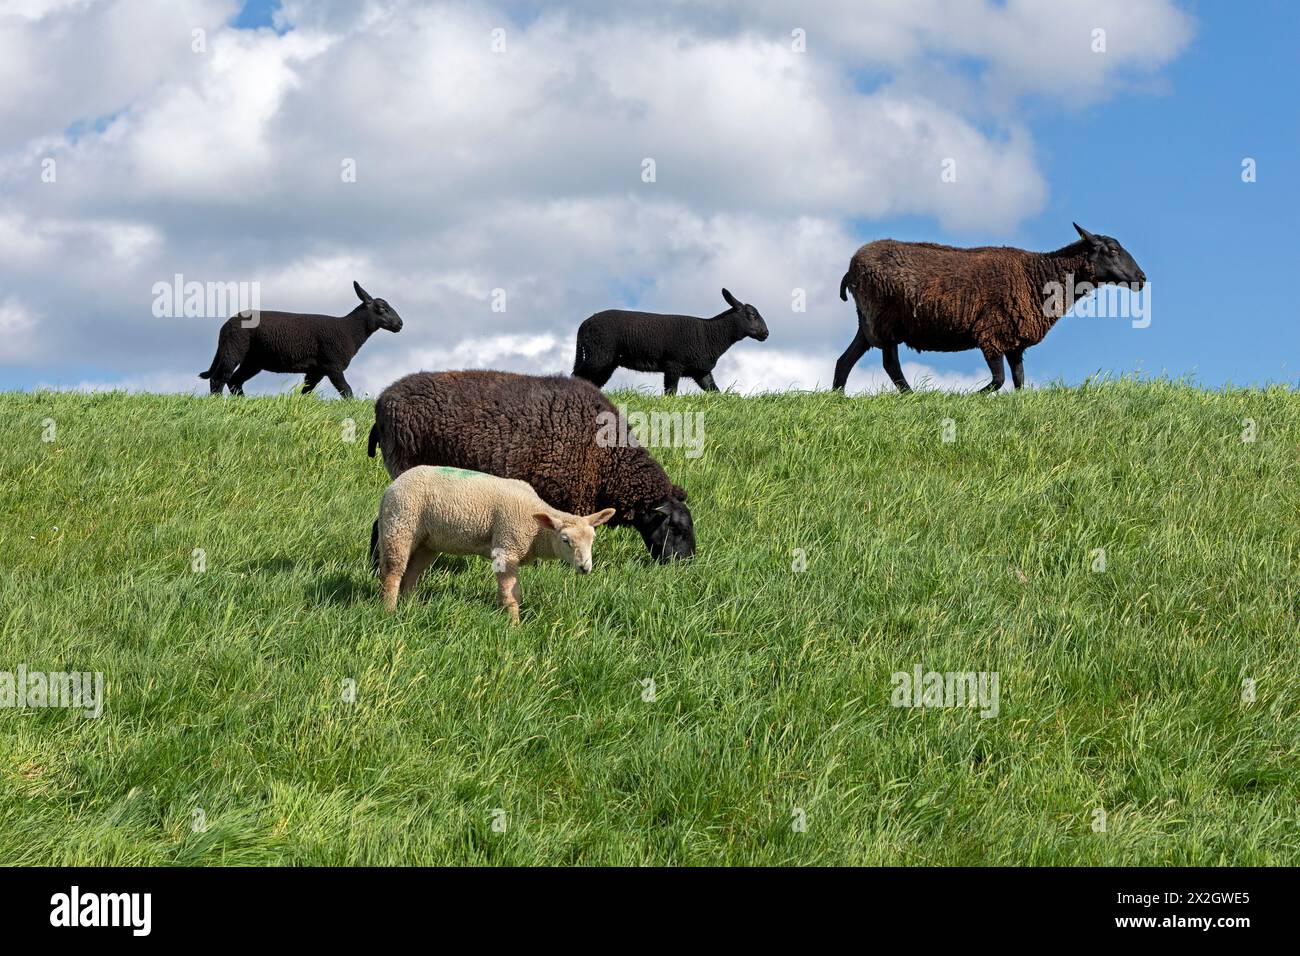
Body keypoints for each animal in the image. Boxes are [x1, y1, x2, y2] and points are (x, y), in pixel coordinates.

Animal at [196, 280, 400, 395]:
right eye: (382, 309)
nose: (400, 324)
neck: (349, 330)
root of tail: (225, 325)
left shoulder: (317, 369)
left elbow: (306, 392)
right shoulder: (332, 364)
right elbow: (346, 391)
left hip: (253, 360)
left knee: (234, 381)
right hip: (234, 347)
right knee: (219, 378)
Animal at [374, 468, 616, 624]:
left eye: (593, 538)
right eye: (565, 540)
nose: (585, 567)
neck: (535, 527)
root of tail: (390, 488)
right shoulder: (507, 548)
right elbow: (512, 593)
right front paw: (514, 626)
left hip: (428, 540)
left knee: (411, 574)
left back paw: (411, 606)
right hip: (400, 524)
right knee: (393, 572)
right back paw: (389, 611)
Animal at [572, 291, 769, 395]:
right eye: (752, 314)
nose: (766, 334)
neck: (710, 334)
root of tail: (584, 324)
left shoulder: (701, 372)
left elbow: (715, 392)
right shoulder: (674, 364)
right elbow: (670, 393)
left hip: (607, 361)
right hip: (599, 353)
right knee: (578, 375)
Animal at [832, 223, 1149, 392]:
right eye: (1112, 250)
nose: (1142, 278)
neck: (1040, 276)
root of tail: (851, 269)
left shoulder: (1014, 340)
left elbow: (1019, 380)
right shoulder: (992, 333)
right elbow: (999, 380)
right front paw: (969, 396)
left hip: (868, 322)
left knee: (844, 360)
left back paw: (837, 397)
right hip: (884, 320)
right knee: (890, 364)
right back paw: (911, 396)